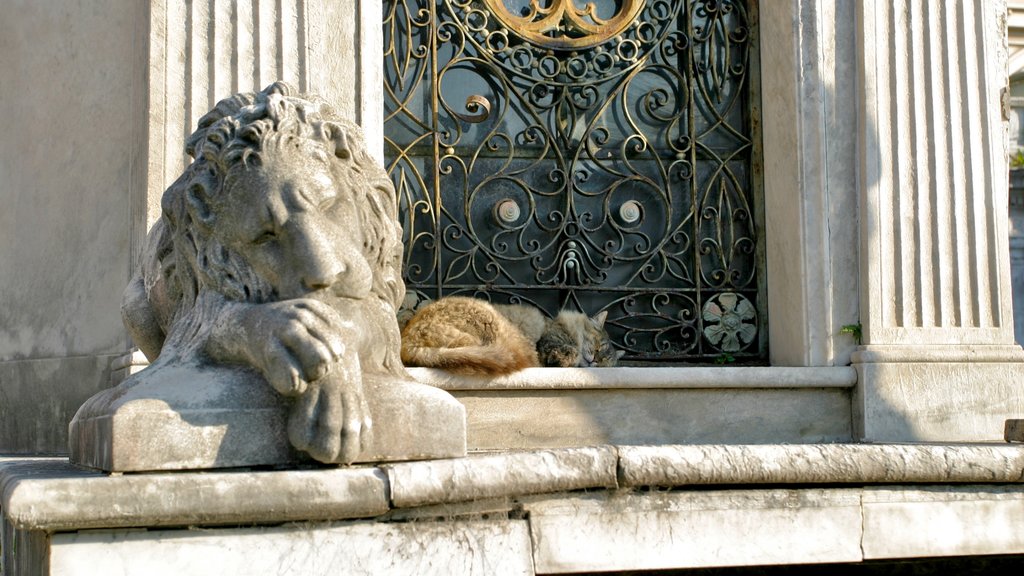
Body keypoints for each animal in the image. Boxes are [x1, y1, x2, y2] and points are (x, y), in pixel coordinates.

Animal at [399, 293, 622, 375]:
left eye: (605, 361)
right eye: (599, 345)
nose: (595, 360)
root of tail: (408, 342)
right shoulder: (548, 341)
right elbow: (564, 352)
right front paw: (566, 358)